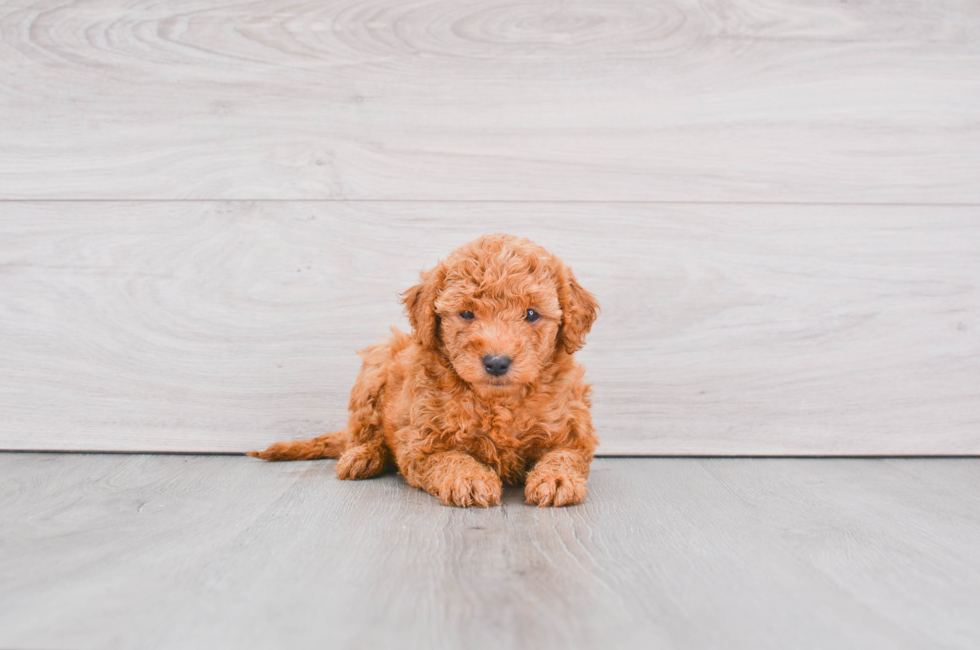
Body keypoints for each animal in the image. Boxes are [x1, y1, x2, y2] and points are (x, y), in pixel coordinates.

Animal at [247, 233, 596, 506]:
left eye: (532, 314)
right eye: (467, 313)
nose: (497, 362)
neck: (496, 403)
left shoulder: (574, 433)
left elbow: (565, 455)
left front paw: (557, 479)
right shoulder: (420, 443)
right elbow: (449, 458)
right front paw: (469, 479)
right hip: (377, 362)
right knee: (364, 434)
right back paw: (362, 457)